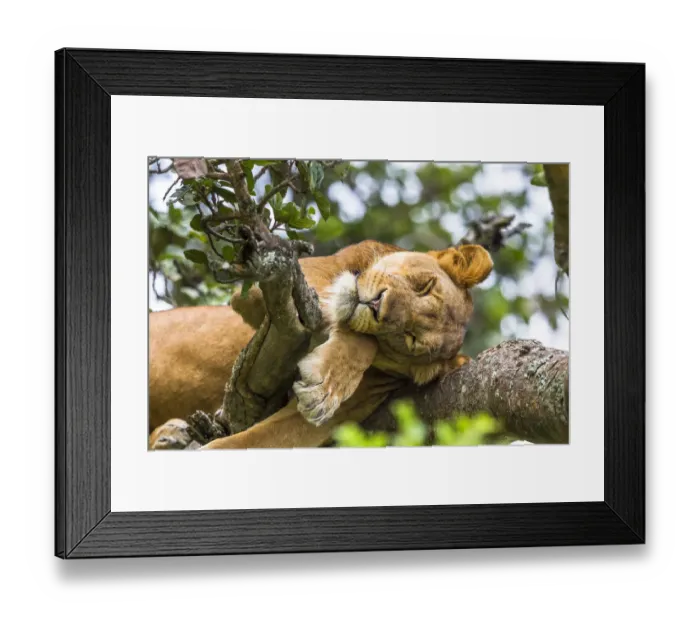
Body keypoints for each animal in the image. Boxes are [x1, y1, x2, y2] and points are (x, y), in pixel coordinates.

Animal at [149, 240, 493, 450]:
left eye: (409, 338)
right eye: (425, 287)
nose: (377, 305)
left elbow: (260, 439)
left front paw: (324, 389)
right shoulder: (271, 284)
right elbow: (355, 335)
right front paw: (327, 380)